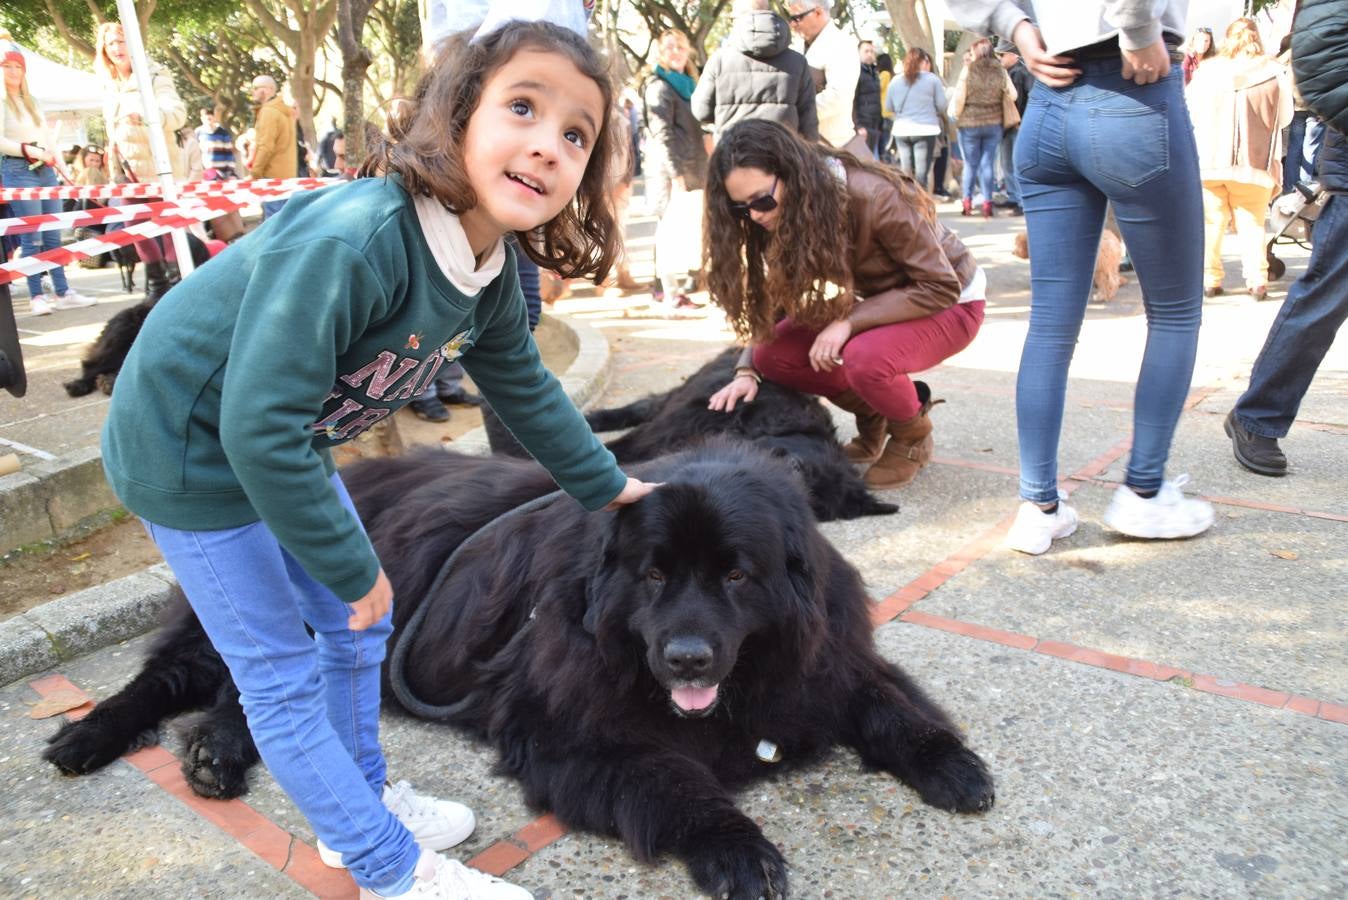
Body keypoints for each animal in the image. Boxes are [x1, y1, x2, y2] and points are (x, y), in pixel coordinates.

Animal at [44, 444, 992, 900]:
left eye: (736, 575)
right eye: (654, 574)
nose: (686, 656)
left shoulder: (825, 662)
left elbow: (889, 704)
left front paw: (953, 764)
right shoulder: (571, 732)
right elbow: (675, 784)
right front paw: (737, 850)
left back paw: (214, 749)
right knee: (187, 679)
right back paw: (93, 738)